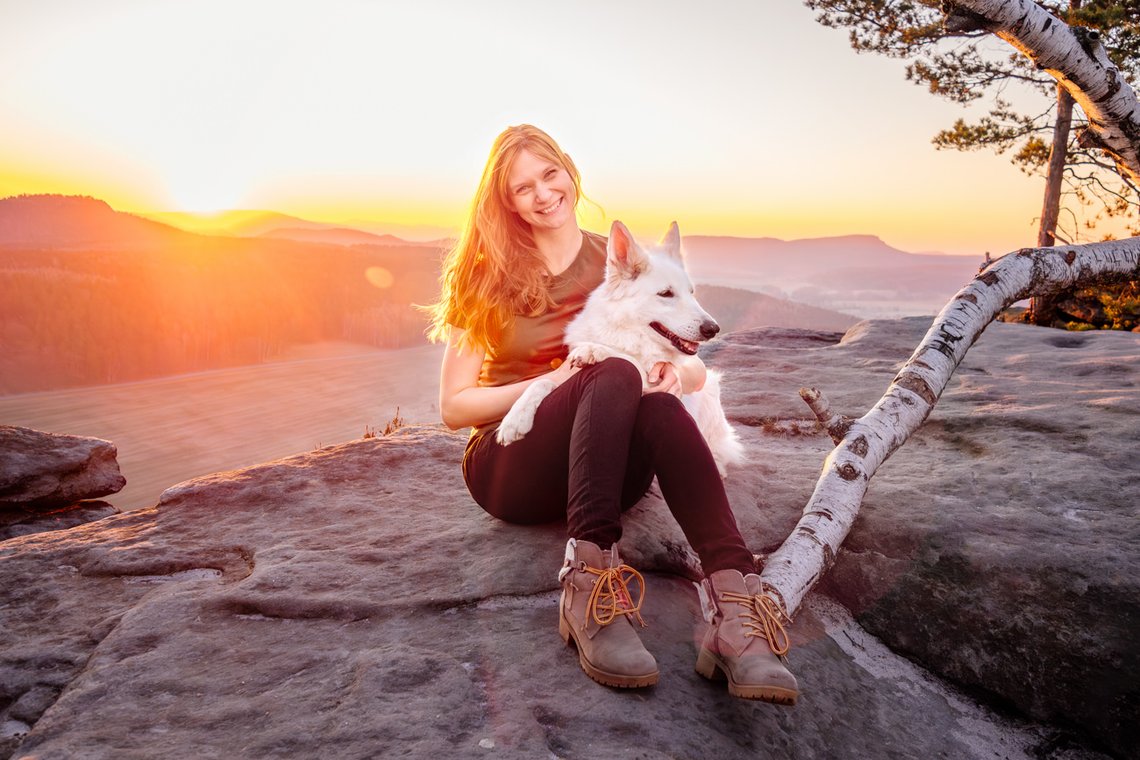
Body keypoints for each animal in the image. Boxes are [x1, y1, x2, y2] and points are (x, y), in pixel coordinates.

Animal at [494, 218, 743, 476]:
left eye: (691, 292)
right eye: (666, 294)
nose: (713, 328)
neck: (625, 336)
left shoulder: (656, 379)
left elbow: (630, 363)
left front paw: (594, 350)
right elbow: (541, 382)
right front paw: (515, 418)